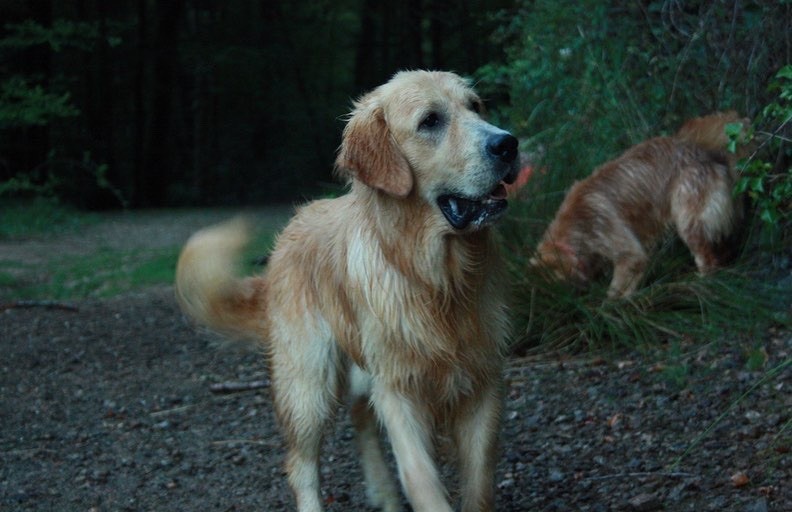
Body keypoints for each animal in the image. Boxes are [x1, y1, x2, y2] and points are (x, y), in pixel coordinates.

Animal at [174, 71, 520, 512]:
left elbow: (479, 484)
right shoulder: (398, 388)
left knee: (360, 417)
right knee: (300, 463)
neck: (434, 278)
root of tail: (287, 233)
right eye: (430, 121)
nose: (508, 144)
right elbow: (420, 477)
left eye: (475, 107)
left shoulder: (484, 381)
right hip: (309, 382)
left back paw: (384, 492)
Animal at [532, 111, 748, 296]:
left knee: (708, 261)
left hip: (688, 218)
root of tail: (702, 149)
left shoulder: (627, 252)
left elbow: (616, 291)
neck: (575, 224)